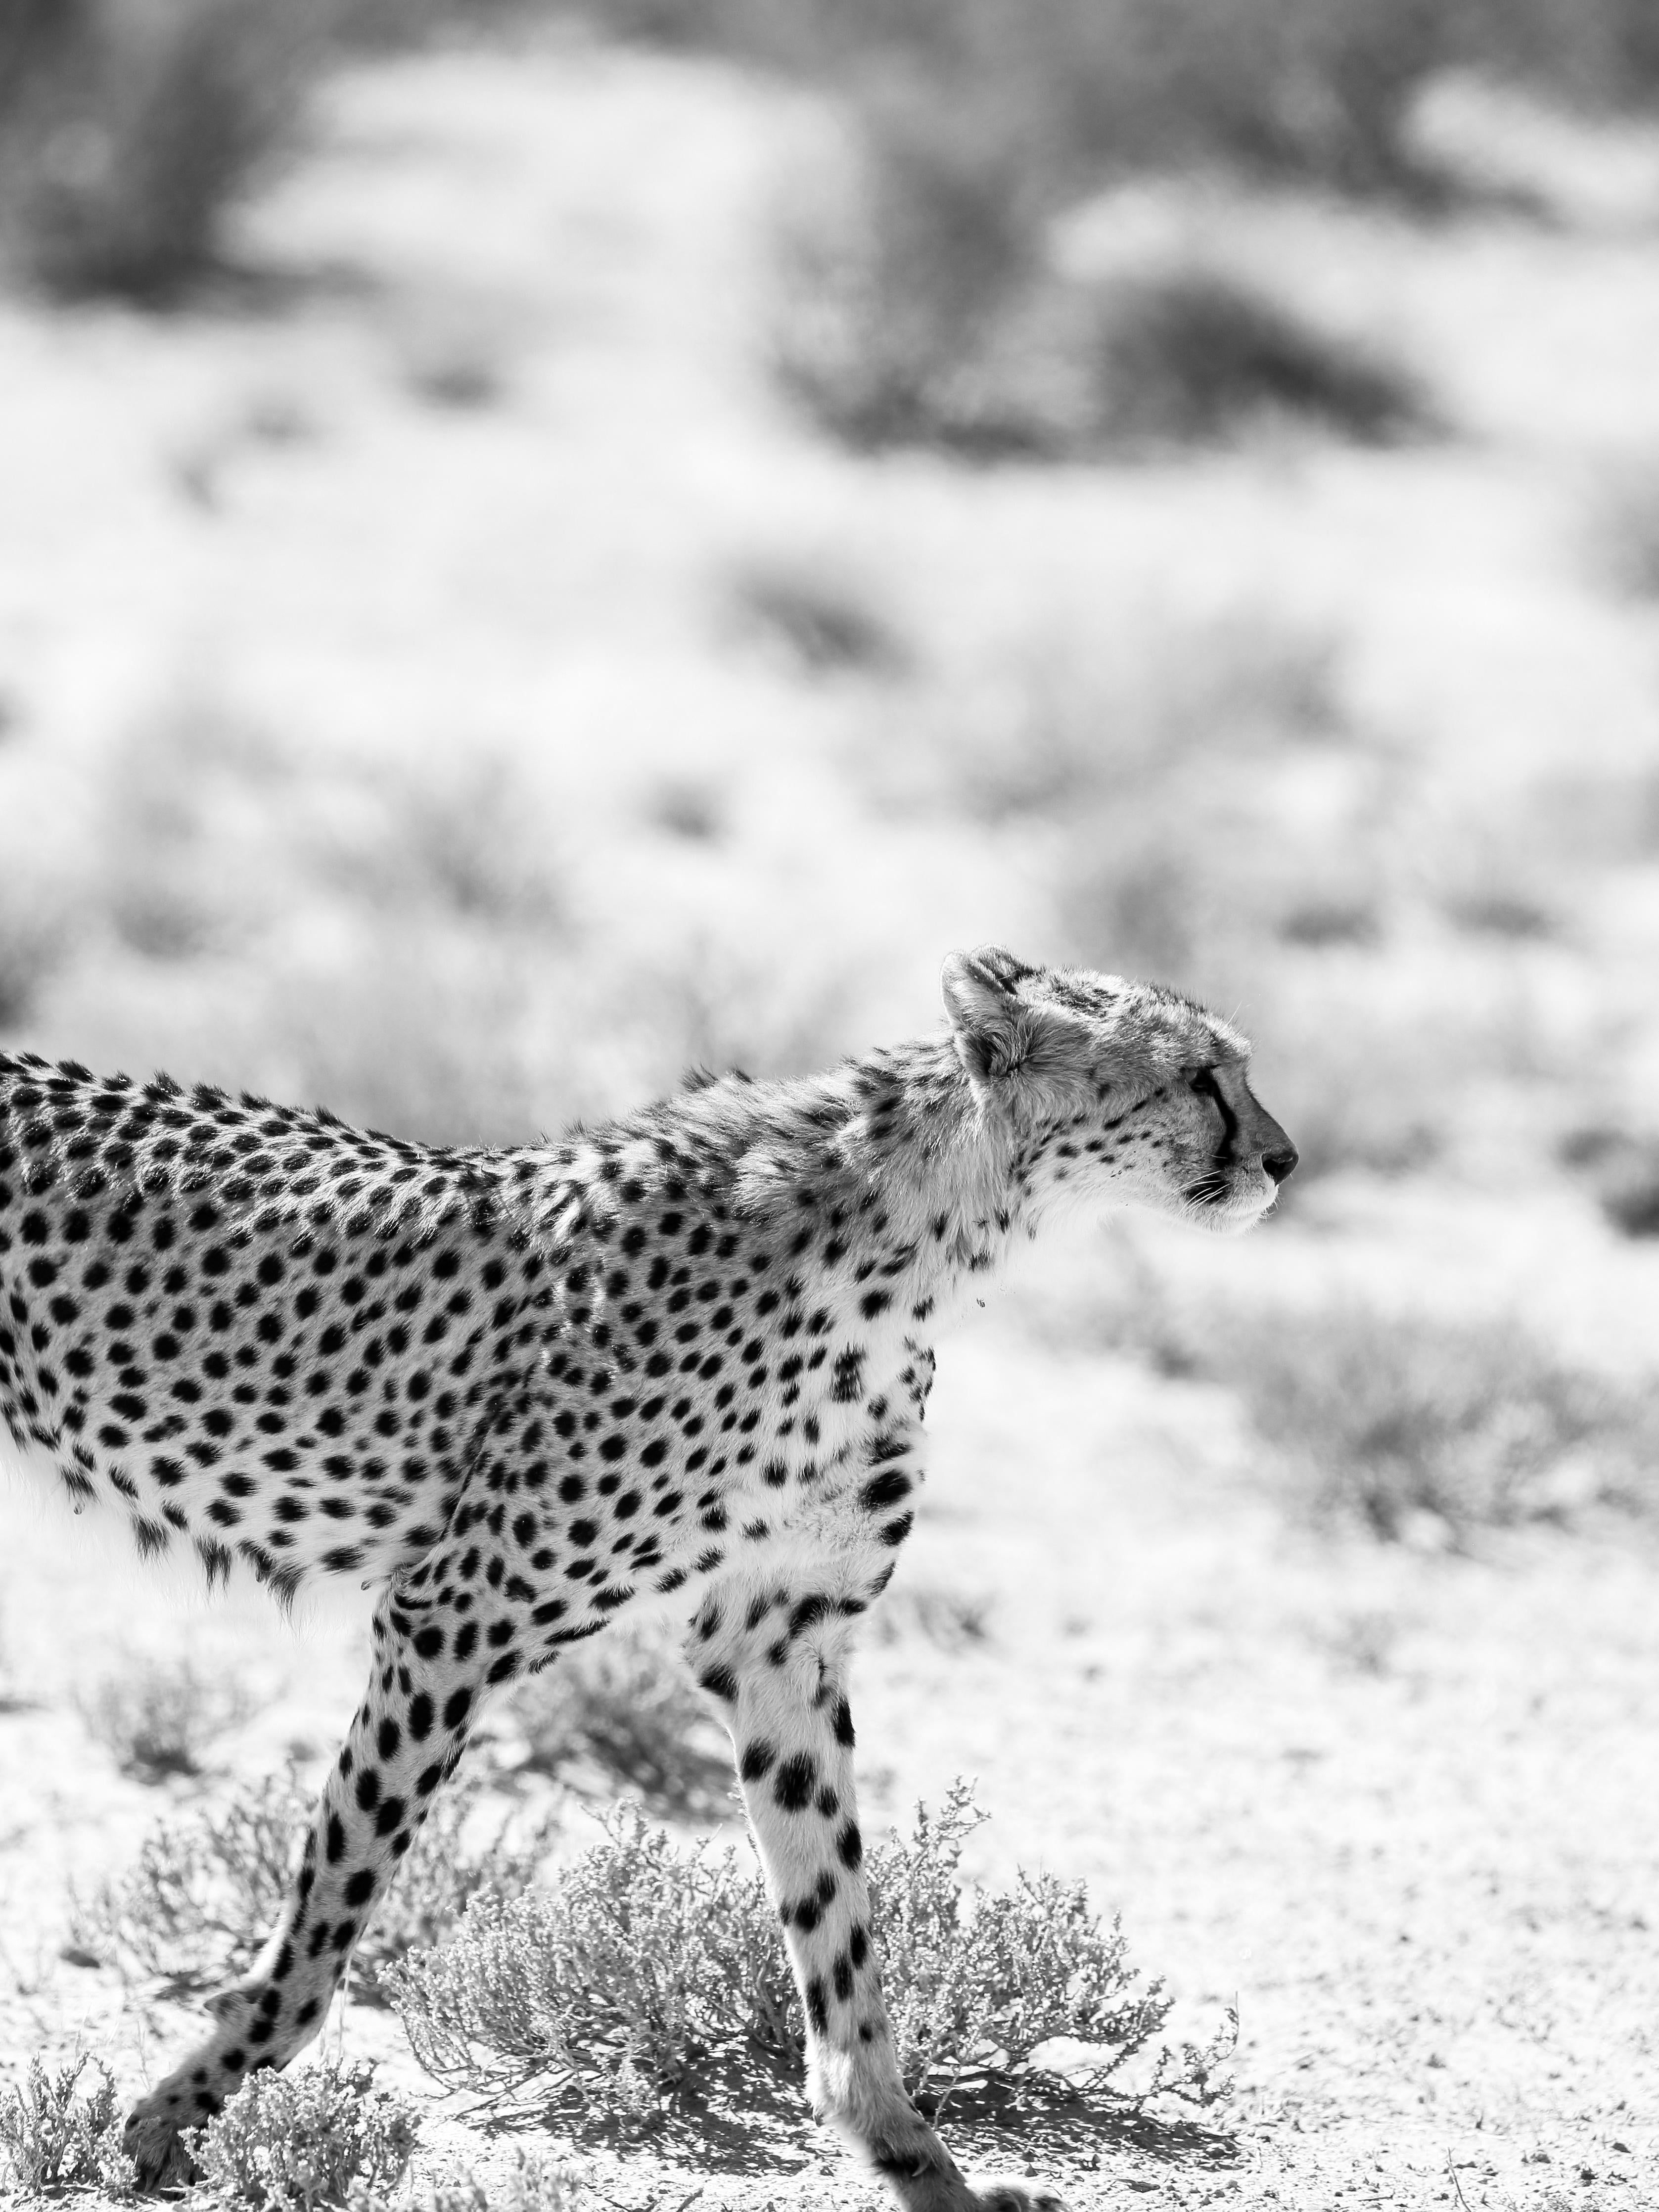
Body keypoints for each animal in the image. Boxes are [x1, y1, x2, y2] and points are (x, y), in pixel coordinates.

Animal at [0, 942, 1300, 2203]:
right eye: (1200, 1077)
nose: (1286, 1159)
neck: (916, 1236)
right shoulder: (455, 1612)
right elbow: (335, 1906)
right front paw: (179, 2110)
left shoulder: (778, 1639)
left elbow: (835, 1912)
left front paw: (912, 2155)